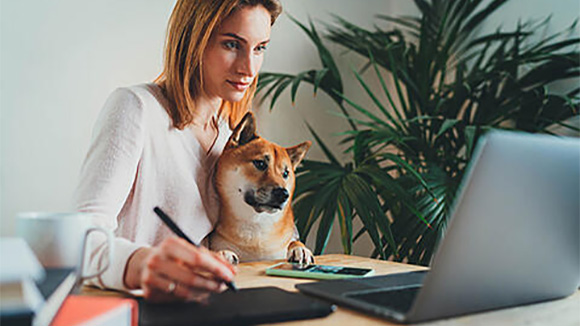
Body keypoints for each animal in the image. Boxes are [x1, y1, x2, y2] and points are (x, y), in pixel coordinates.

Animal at [211, 112, 314, 264]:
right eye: (260, 164)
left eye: (285, 173)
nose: (283, 194)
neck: (256, 224)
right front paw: (223, 254)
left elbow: (294, 241)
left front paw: (300, 249)